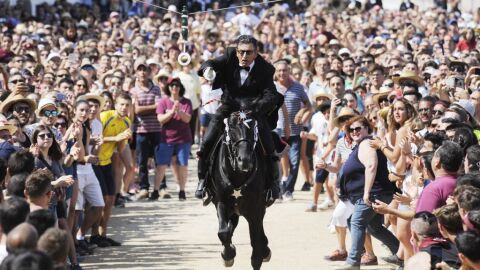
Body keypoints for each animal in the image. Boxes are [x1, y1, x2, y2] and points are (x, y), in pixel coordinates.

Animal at [207, 109, 272, 270]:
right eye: (231, 128)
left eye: (253, 128)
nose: (245, 160)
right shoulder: (221, 202)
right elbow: (223, 232)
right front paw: (228, 255)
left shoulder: (256, 208)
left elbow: (256, 245)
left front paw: (262, 252)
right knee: (231, 226)